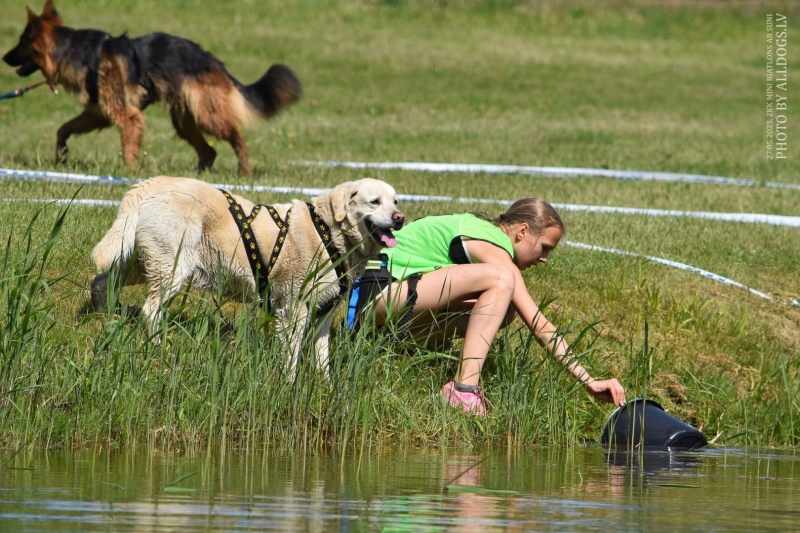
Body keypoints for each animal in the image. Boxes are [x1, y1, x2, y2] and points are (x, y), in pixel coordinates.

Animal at [2, 0, 304, 175]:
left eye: (20, 43)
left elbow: (127, 145)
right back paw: (196, 177)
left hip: (207, 116)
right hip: (184, 121)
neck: (73, 51)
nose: (4, 58)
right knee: (209, 151)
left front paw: (129, 172)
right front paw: (61, 156)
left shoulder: (126, 115)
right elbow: (62, 129)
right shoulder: (99, 113)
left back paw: (244, 171)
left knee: (237, 138)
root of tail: (213, 61)